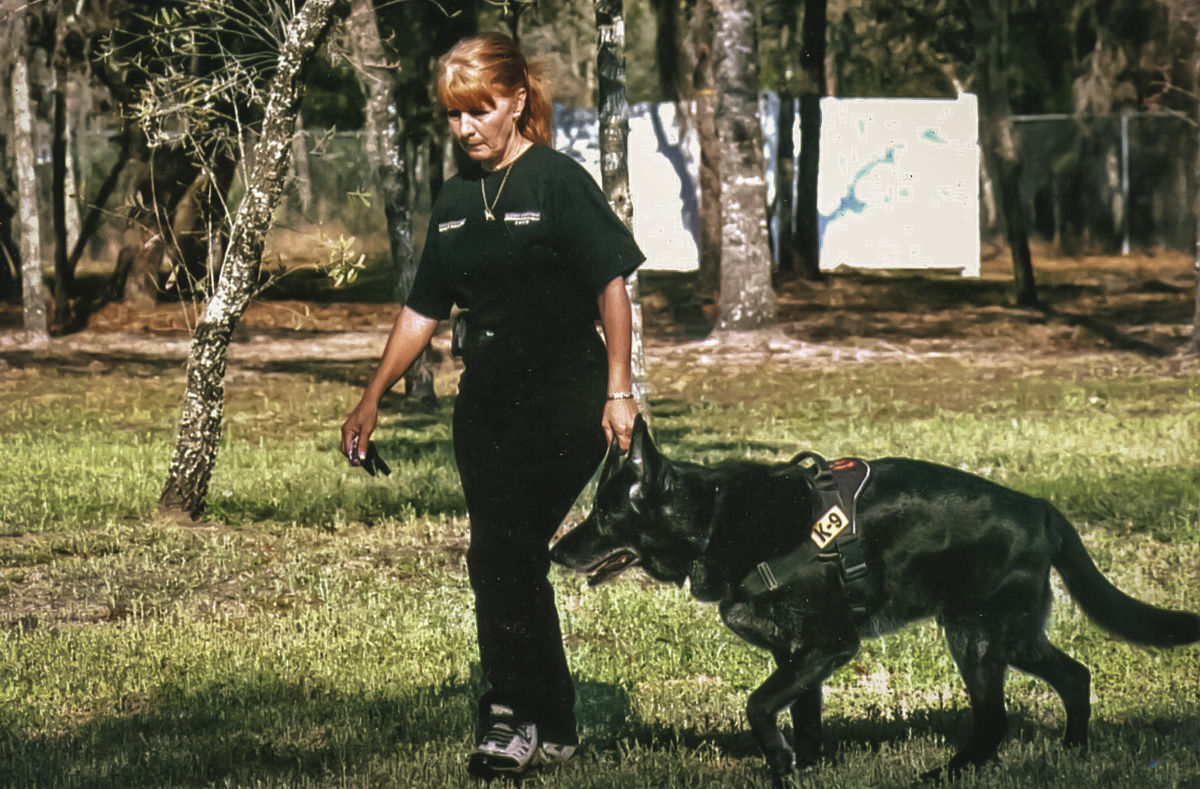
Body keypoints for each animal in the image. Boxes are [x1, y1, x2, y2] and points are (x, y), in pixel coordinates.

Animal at [552, 414, 1200, 781]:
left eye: (604, 514)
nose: (555, 551)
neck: (715, 519)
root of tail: (1042, 509)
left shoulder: (828, 646)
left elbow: (759, 706)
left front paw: (780, 762)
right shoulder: (798, 657)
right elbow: (804, 717)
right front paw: (802, 768)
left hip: (975, 638)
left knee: (994, 720)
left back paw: (946, 775)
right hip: (1012, 636)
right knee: (1076, 676)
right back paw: (1073, 750)